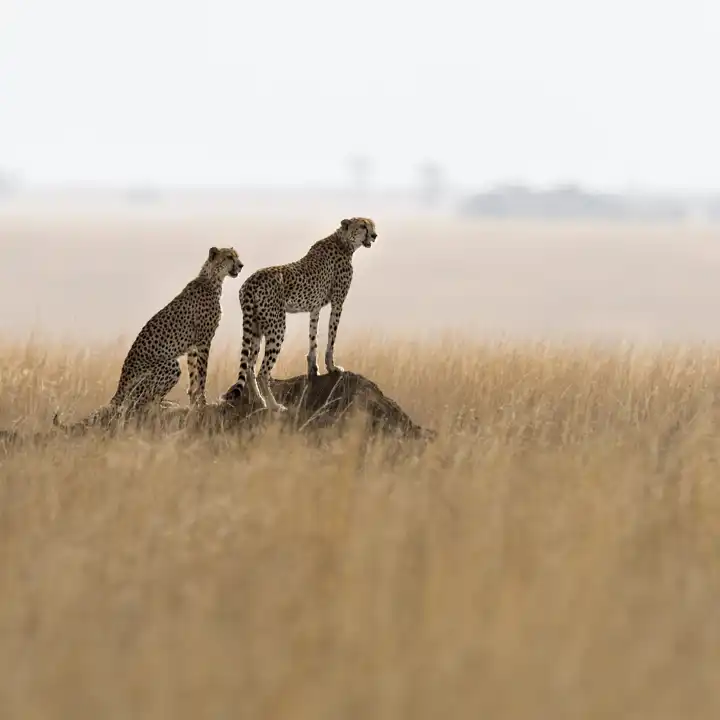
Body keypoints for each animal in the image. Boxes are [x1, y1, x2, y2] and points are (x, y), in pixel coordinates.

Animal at [53, 246, 243, 430]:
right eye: (229, 257)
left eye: (237, 256)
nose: (241, 265)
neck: (212, 278)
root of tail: (120, 385)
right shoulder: (204, 341)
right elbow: (202, 375)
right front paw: (202, 402)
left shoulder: (193, 347)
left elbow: (193, 377)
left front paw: (194, 402)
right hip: (169, 366)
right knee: (131, 406)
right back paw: (159, 407)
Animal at [221, 217, 377, 412]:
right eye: (363, 226)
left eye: (372, 225)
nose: (374, 235)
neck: (344, 242)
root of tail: (250, 281)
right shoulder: (338, 302)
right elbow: (331, 336)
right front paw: (332, 367)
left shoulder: (315, 307)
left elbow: (313, 337)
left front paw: (313, 368)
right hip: (276, 326)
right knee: (263, 371)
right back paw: (274, 406)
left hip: (256, 326)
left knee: (249, 368)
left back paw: (261, 402)